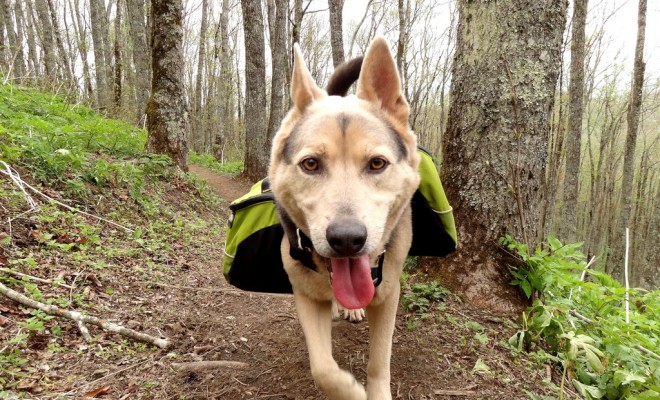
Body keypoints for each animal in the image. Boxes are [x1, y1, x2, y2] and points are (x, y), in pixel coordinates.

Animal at [266, 36, 418, 398]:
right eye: (310, 164)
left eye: (377, 164)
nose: (347, 239)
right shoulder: (306, 296)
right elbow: (322, 368)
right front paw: (352, 391)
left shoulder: (389, 294)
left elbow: (379, 362)